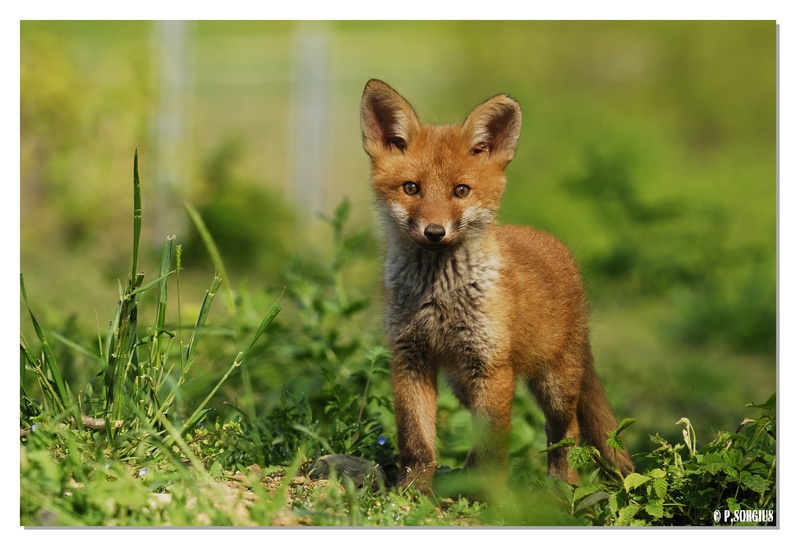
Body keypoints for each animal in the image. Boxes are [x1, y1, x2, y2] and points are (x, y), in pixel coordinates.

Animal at [359, 79, 634, 493]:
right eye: (411, 188)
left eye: (461, 191)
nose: (435, 232)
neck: (439, 296)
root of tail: (555, 244)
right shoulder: (410, 358)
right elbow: (417, 441)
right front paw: (411, 493)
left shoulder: (491, 365)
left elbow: (494, 446)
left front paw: (491, 495)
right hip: (463, 384)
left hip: (553, 382)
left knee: (565, 430)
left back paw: (561, 487)